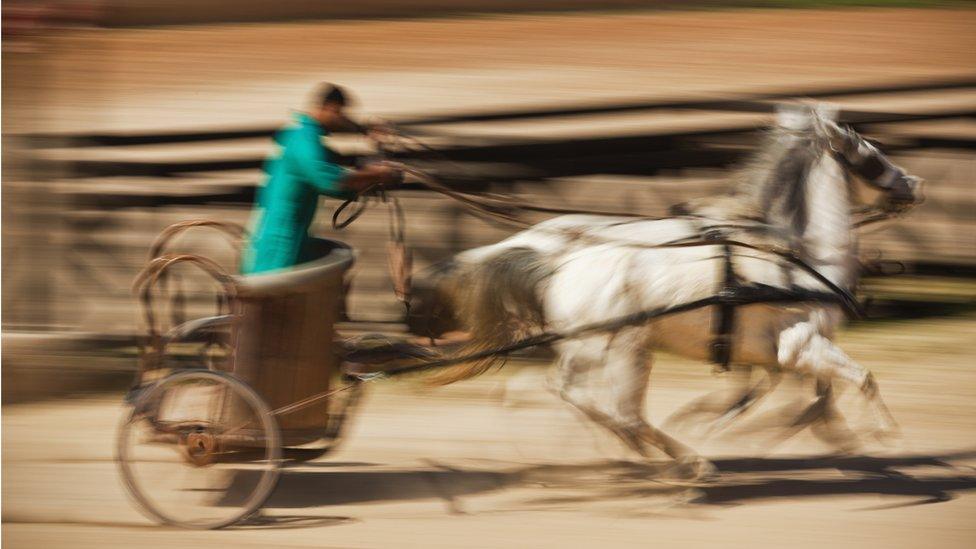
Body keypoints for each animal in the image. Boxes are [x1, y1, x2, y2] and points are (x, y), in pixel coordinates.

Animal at [412, 104, 924, 476]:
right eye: (868, 152)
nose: (914, 184)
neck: (795, 259)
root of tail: (556, 259)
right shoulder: (799, 345)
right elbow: (858, 380)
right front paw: (883, 436)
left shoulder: (779, 354)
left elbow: (805, 398)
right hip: (614, 348)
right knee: (589, 399)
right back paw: (671, 457)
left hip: (591, 348)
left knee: (553, 393)